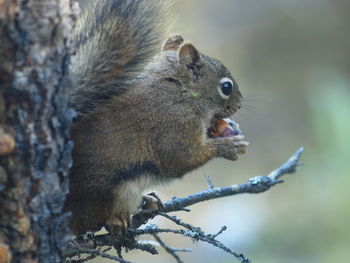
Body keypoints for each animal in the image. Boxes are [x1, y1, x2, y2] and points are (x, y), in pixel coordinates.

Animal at [63, 0, 249, 235]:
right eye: (226, 87)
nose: (240, 104)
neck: (180, 93)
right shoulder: (173, 124)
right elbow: (179, 158)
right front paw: (228, 147)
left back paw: (147, 199)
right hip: (110, 194)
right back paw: (115, 219)